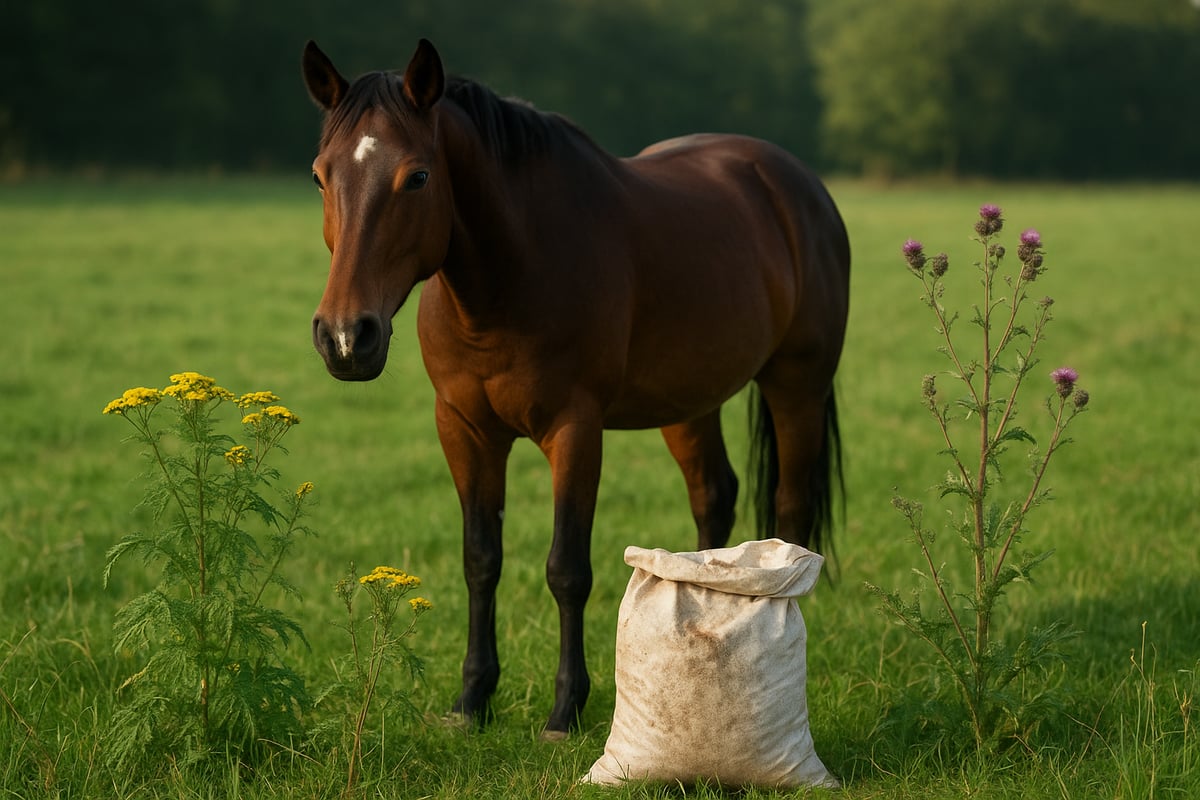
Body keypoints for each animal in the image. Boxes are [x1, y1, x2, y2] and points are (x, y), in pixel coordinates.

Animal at [302, 38, 850, 738]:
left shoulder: (575, 430)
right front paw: (471, 699)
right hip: (688, 403)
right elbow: (480, 559)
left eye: (418, 177)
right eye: (321, 176)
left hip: (797, 382)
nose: (346, 337)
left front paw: (566, 708)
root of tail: (797, 183)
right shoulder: (464, 429)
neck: (511, 278)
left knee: (789, 510)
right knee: (713, 495)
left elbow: (566, 568)